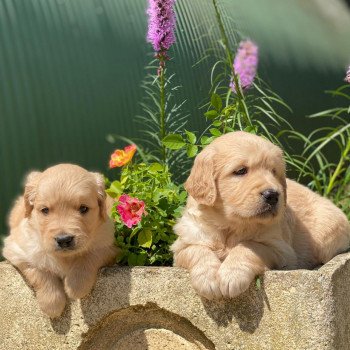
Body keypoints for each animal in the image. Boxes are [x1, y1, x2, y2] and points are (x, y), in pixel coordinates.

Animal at [2, 163, 117, 318]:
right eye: (45, 210)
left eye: (83, 208)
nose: (64, 240)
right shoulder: (17, 250)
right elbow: (39, 270)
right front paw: (52, 305)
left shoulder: (108, 245)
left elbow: (89, 256)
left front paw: (76, 285)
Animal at [172, 133, 350, 300]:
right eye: (241, 171)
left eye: (274, 172)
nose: (273, 195)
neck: (229, 225)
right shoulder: (183, 245)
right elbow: (197, 250)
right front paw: (208, 280)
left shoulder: (281, 251)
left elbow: (249, 246)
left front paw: (232, 275)